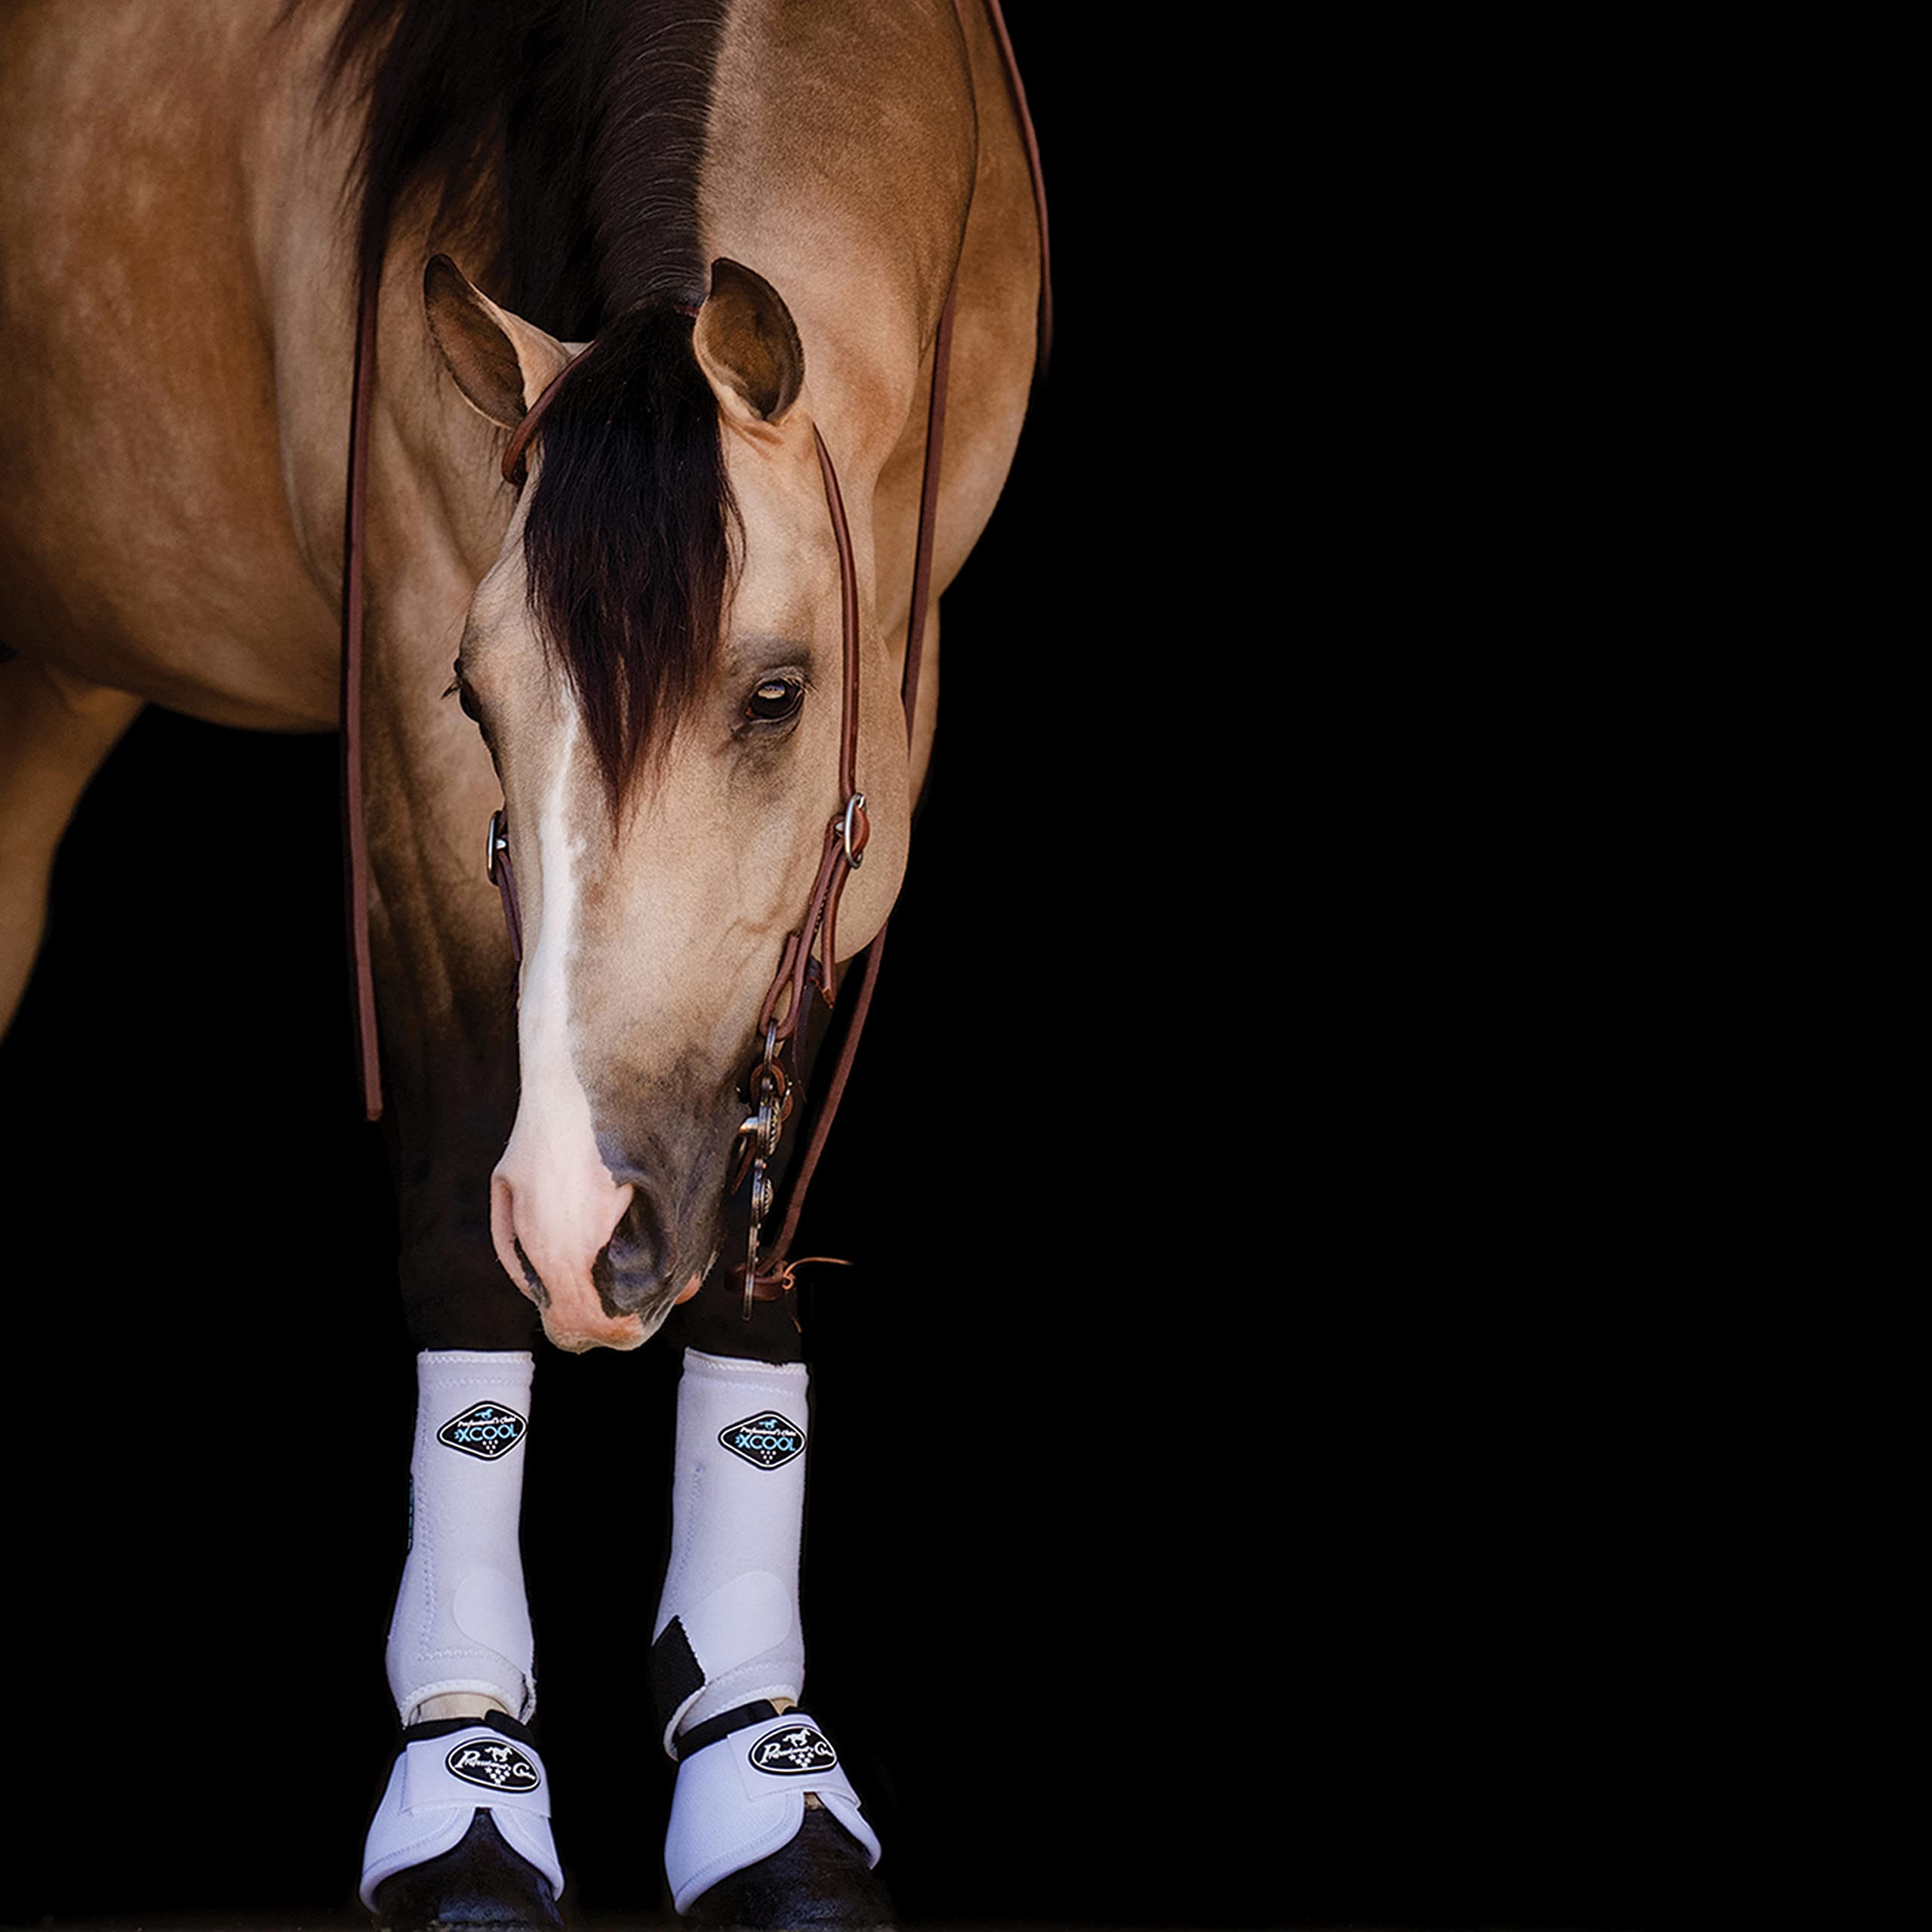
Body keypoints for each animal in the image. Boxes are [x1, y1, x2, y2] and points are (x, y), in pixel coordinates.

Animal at [0, 1, 1044, 1924]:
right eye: (479, 701)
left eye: (777, 692)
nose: (580, 1225)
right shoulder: (411, 701)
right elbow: (449, 1243)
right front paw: (464, 1768)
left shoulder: (899, 697)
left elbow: (761, 1230)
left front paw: (758, 1760)